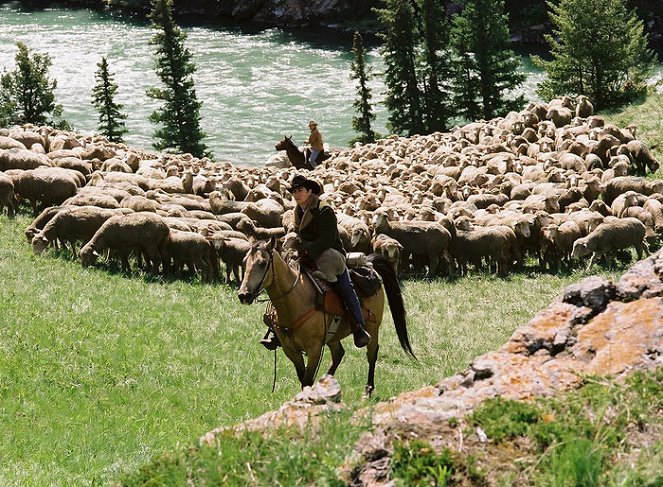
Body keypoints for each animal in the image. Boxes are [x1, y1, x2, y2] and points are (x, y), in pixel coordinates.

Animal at [237, 237, 416, 400]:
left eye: (262, 263)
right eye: (245, 261)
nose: (243, 295)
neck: (295, 299)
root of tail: (369, 265)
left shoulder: (314, 349)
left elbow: (307, 380)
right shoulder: (290, 350)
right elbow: (303, 377)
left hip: (373, 327)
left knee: (372, 354)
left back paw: (367, 391)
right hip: (332, 336)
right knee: (338, 354)